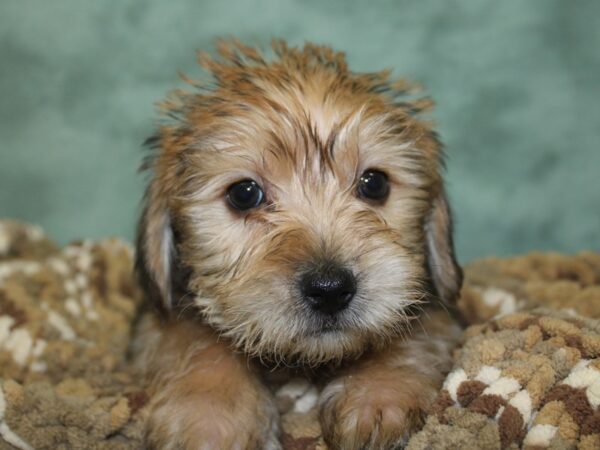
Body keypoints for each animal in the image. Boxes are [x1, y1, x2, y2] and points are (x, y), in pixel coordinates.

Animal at [135, 40, 464, 448]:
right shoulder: (160, 317)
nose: (330, 288)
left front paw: (379, 392)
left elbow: (413, 333)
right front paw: (210, 416)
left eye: (374, 183)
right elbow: (193, 341)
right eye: (244, 194)